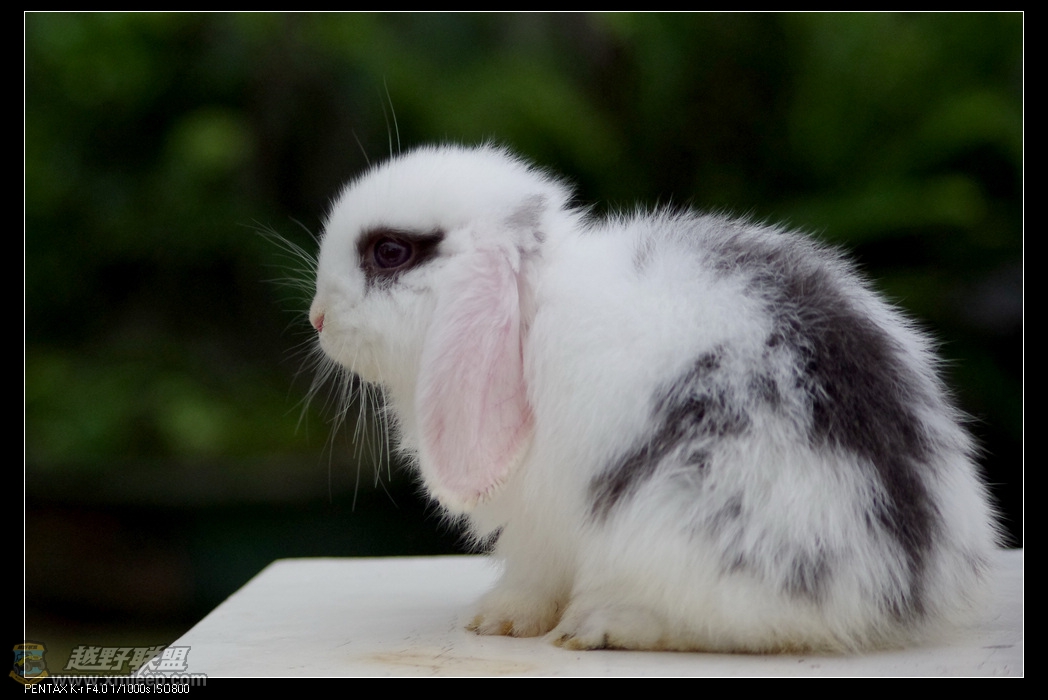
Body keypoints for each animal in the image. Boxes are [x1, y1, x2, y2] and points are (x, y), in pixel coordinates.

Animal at [308, 143, 999, 653]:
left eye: (390, 253)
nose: (316, 318)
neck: (535, 307)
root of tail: (901, 581)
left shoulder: (540, 522)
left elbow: (532, 576)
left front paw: (498, 621)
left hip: (679, 522)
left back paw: (601, 626)